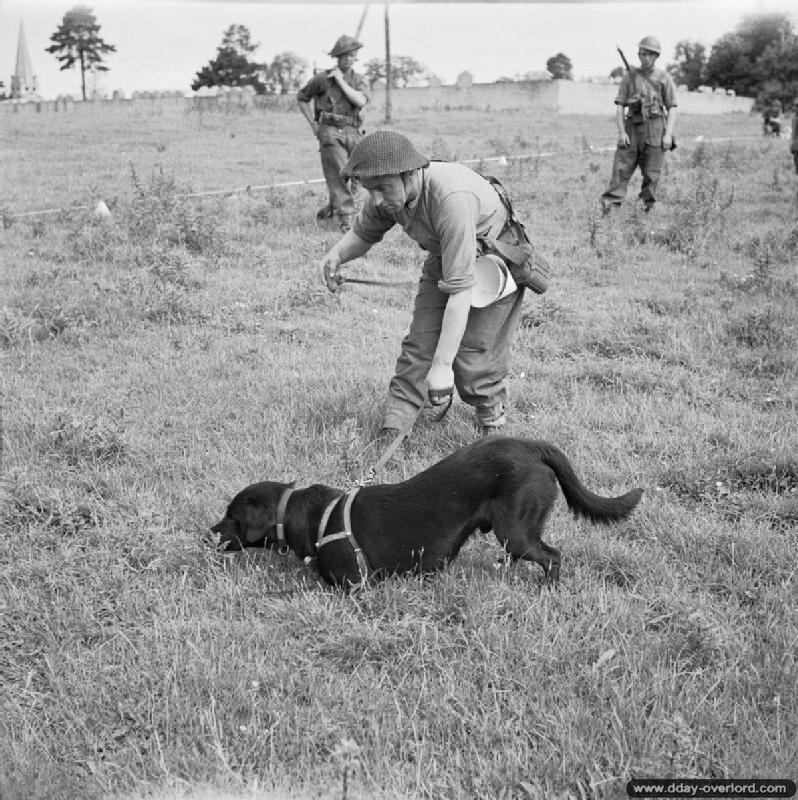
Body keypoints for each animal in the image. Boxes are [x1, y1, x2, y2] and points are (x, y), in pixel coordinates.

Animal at [211, 438, 644, 588]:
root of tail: (532, 445)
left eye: (231, 515)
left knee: (552, 556)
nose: (208, 532)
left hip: (516, 532)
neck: (313, 516)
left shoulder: (353, 587)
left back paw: (547, 588)